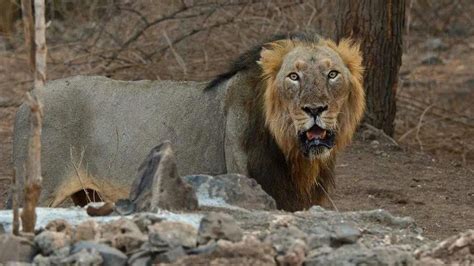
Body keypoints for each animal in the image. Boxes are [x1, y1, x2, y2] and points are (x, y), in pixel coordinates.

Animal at [13, 33, 362, 211]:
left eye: (332, 74)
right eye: (293, 76)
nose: (315, 108)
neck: (295, 155)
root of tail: (26, 99)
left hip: (87, 194)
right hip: (39, 188)